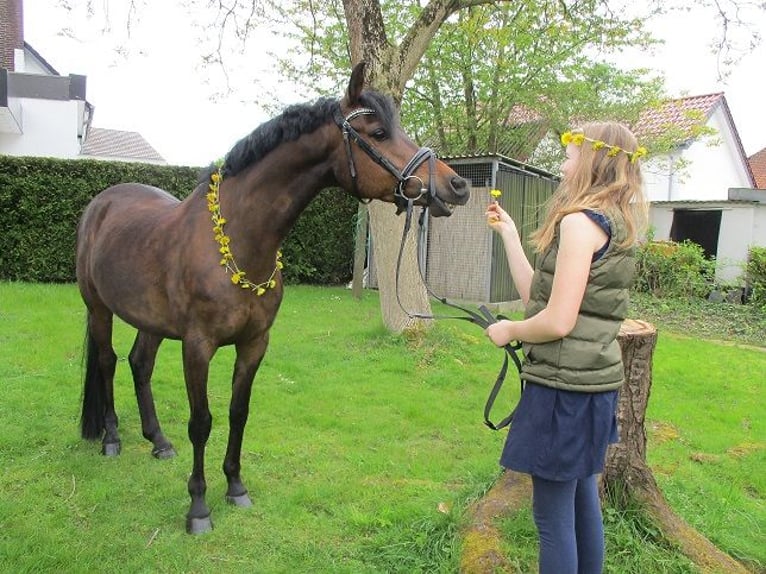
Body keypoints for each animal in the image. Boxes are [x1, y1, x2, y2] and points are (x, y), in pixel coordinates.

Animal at [75, 62, 470, 534]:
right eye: (377, 133)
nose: (457, 185)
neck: (240, 239)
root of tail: (101, 204)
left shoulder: (254, 343)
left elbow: (238, 413)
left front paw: (235, 487)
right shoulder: (197, 347)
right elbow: (201, 422)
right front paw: (198, 507)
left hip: (150, 320)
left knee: (139, 364)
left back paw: (158, 442)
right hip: (99, 309)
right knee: (107, 362)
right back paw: (112, 439)